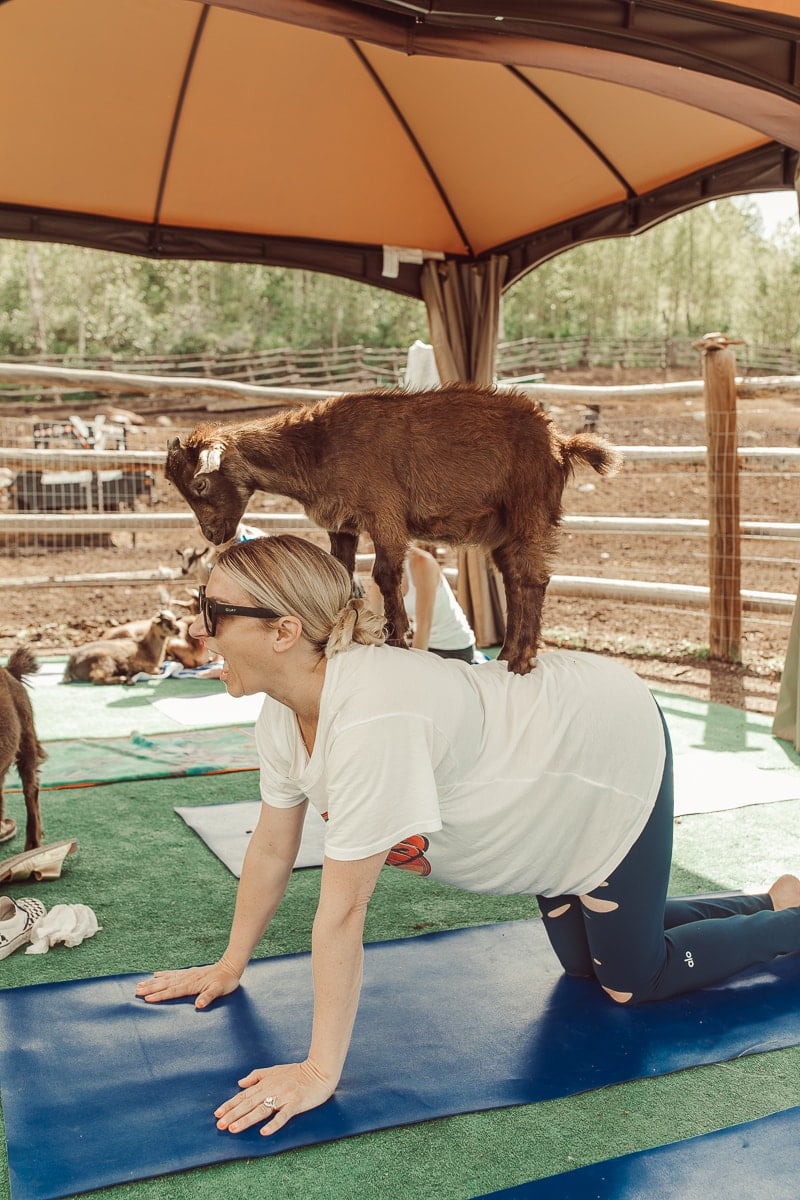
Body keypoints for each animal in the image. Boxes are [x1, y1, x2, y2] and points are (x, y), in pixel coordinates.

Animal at [165, 381, 623, 676]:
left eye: (200, 484)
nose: (213, 535)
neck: (316, 449)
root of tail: (560, 443)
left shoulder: (384, 511)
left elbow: (386, 575)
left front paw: (397, 640)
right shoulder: (343, 523)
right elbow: (342, 577)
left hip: (530, 509)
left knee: (533, 579)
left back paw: (523, 660)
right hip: (503, 528)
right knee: (513, 579)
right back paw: (507, 655)